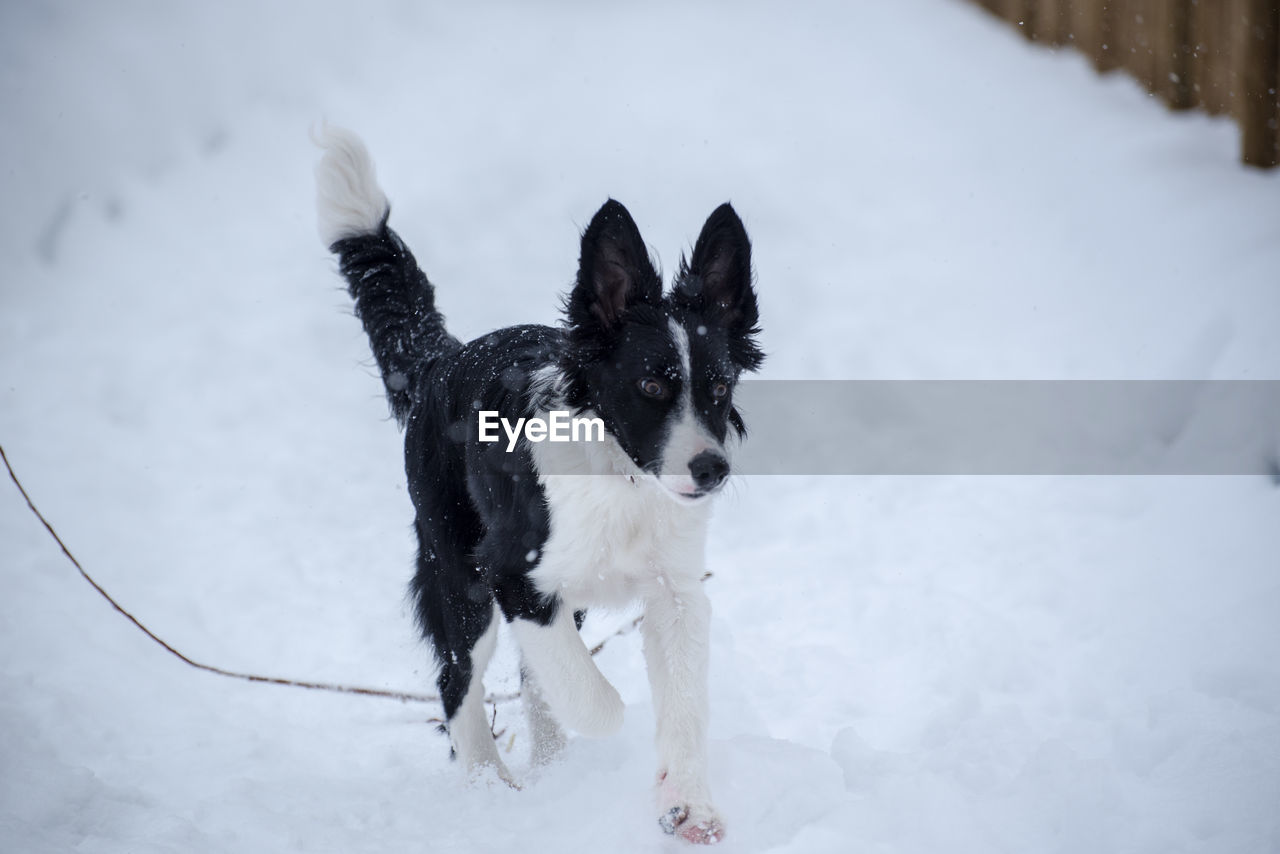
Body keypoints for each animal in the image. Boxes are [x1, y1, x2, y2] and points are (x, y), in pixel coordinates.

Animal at [316, 128, 762, 850]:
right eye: (650, 386)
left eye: (719, 387)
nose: (711, 471)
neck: (623, 478)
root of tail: (441, 358)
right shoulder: (513, 573)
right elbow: (592, 695)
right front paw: (616, 732)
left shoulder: (676, 593)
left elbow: (684, 702)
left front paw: (688, 806)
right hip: (458, 573)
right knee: (458, 678)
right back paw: (489, 788)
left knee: (529, 672)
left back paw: (552, 772)